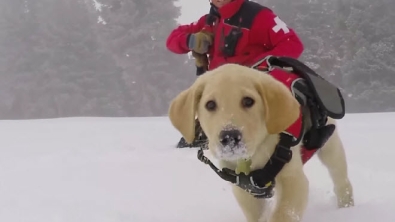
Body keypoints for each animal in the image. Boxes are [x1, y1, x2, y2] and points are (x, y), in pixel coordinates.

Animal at [169, 63, 354, 221]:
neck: (251, 157)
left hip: (330, 146)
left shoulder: (293, 179)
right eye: (210, 105)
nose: (229, 137)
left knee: (341, 179)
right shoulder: (244, 189)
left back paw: (347, 206)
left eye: (248, 101)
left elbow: (283, 214)